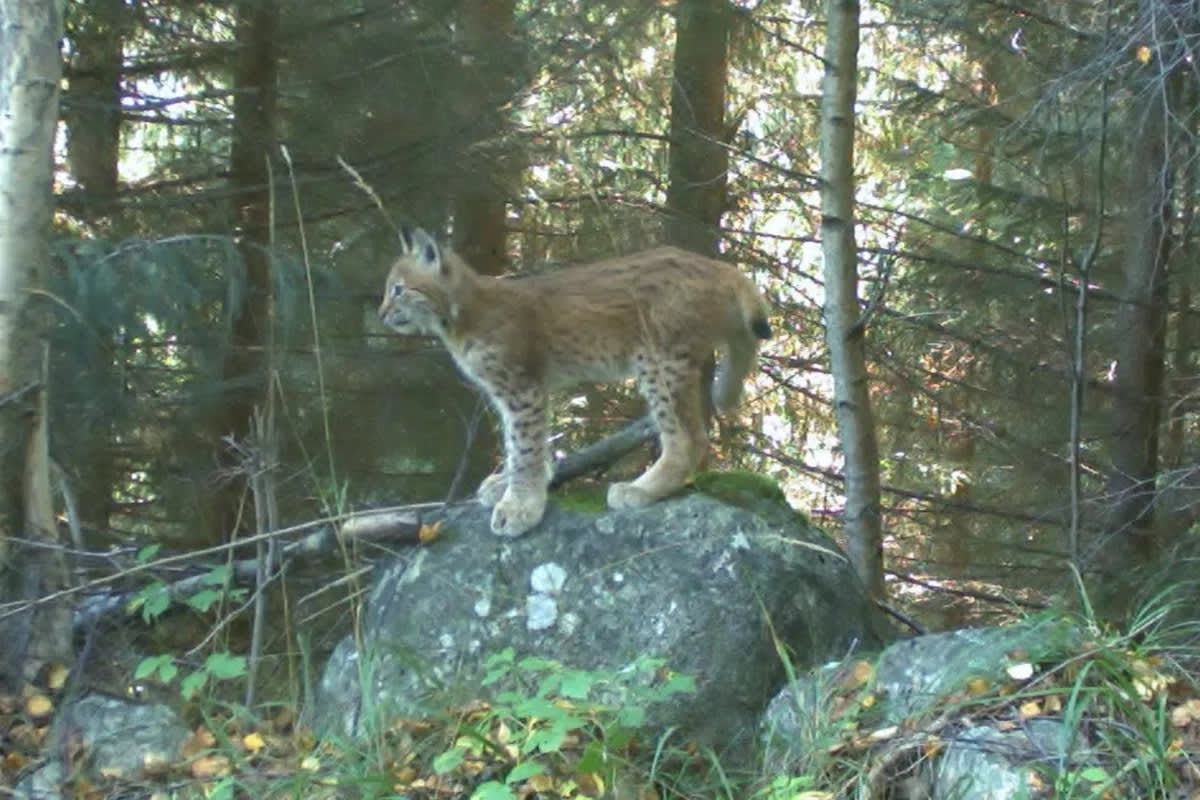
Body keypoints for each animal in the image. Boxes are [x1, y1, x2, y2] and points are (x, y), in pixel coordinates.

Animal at [378, 226, 772, 537]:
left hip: (657, 361)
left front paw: (520, 506)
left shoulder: (521, 388)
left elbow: (524, 448)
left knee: (691, 437)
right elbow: (518, 444)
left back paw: (642, 490)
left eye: (398, 289)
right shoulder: (519, 391)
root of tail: (714, 264)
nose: (380, 314)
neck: (457, 317)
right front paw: (511, 485)